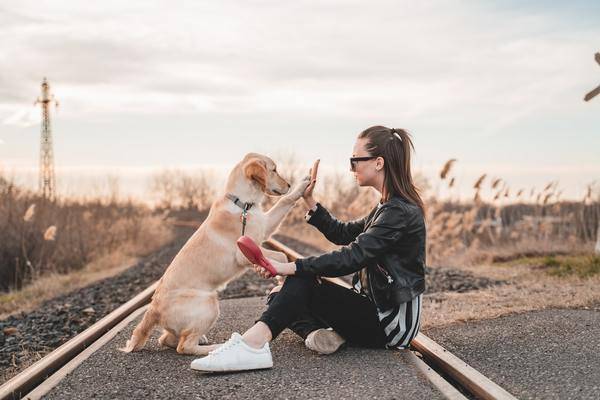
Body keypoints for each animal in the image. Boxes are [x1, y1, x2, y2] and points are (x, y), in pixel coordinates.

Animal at [120, 153, 312, 356]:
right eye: (274, 170)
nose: (289, 184)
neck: (243, 204)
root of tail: (152, 309)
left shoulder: (265, 226)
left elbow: (284, 203)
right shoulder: (244, 252)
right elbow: (281, 256)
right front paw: (281, 279)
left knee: (167, 339)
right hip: (209, 303)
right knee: (184, 346)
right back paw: (217, 347)